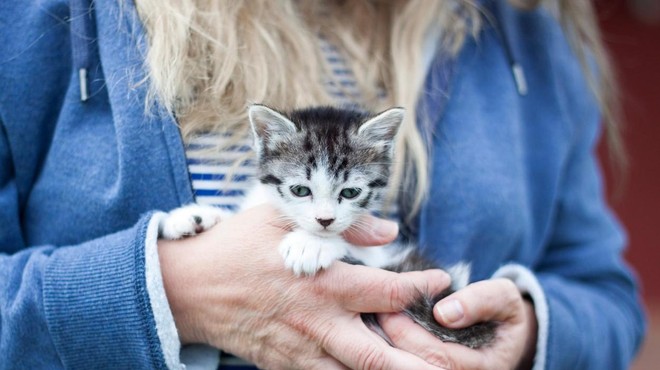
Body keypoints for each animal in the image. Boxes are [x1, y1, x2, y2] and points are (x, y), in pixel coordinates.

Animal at [160, 105, 496, 350]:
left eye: (350, 192)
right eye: (300, 190)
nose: (324, 220)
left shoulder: (379, 257)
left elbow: (355, 249)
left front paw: (312, 243)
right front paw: (192, 216)